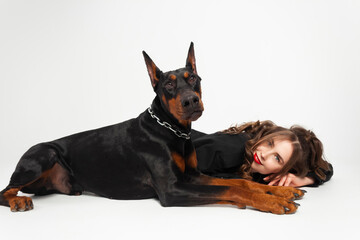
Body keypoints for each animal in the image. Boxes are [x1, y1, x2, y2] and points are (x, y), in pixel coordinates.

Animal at [0, 43, 304, 214]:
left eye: (193, 78)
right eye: (168, 84)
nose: (191, 100)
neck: (174, 131)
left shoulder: (192, 175)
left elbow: (240, 182)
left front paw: (281, 192)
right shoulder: (172, 189)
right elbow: (233, 189)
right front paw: (271, 202)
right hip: (43, 154)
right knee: (6, 191)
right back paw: (17, 201)